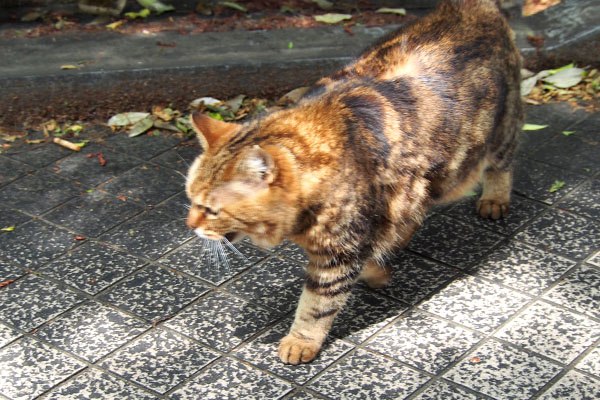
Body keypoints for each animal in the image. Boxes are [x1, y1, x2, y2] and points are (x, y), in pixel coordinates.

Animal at [185, 0, 524, 364]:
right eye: (189, 199)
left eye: (210, 209)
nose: (189, 224)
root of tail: (470, 7)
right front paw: (379, 267)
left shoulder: (339, 254)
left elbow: (316, 305)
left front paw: (301, 340)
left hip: (500, 131)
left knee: (502, 163)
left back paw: (494, 199)